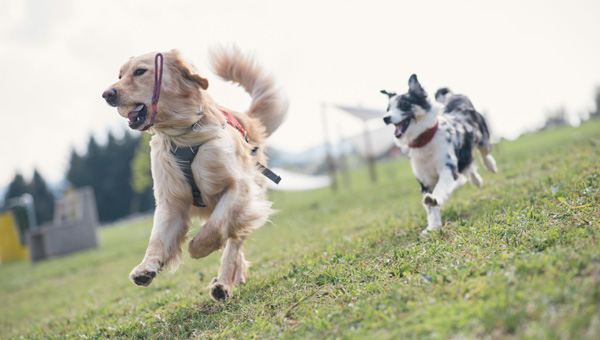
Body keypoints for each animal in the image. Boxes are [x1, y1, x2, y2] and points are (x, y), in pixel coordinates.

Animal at [384, 74, 496, 234]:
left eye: (404, 105)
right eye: (388, 108)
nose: (385, 118)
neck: (424, 141)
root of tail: (454, 97)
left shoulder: (447, 167)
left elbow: (441, 188)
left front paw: (435, 199)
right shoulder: (424, 180)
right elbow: (430, 209)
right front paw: (433, 227)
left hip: (482, 136)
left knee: (484, 152)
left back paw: (490, 165)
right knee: (469, 165)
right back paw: (476, 180)